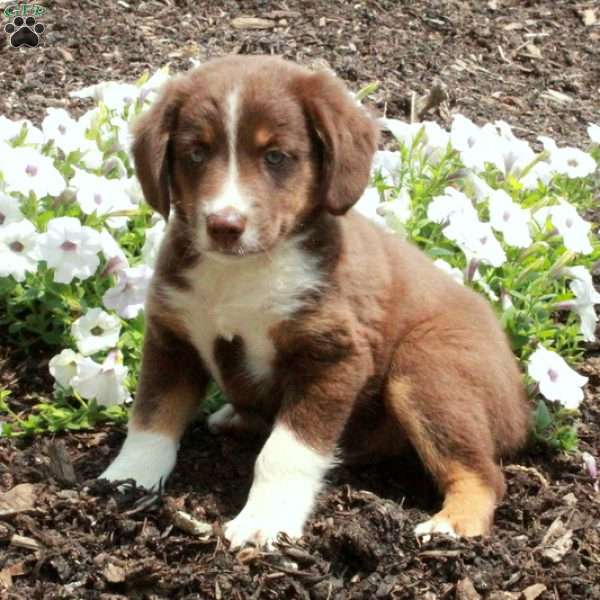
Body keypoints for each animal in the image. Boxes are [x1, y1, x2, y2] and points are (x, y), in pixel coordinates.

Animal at [99, 55, 528, 548]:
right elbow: (150, 418)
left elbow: (285, 451)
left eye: (275, 156)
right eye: (196, 152)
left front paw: (264, 521)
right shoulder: (173, 338)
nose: (225, 225)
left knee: (484, 474)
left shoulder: (333, 356)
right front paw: (126, 479)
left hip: (427, 367)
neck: (242, 273)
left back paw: (451, 523)